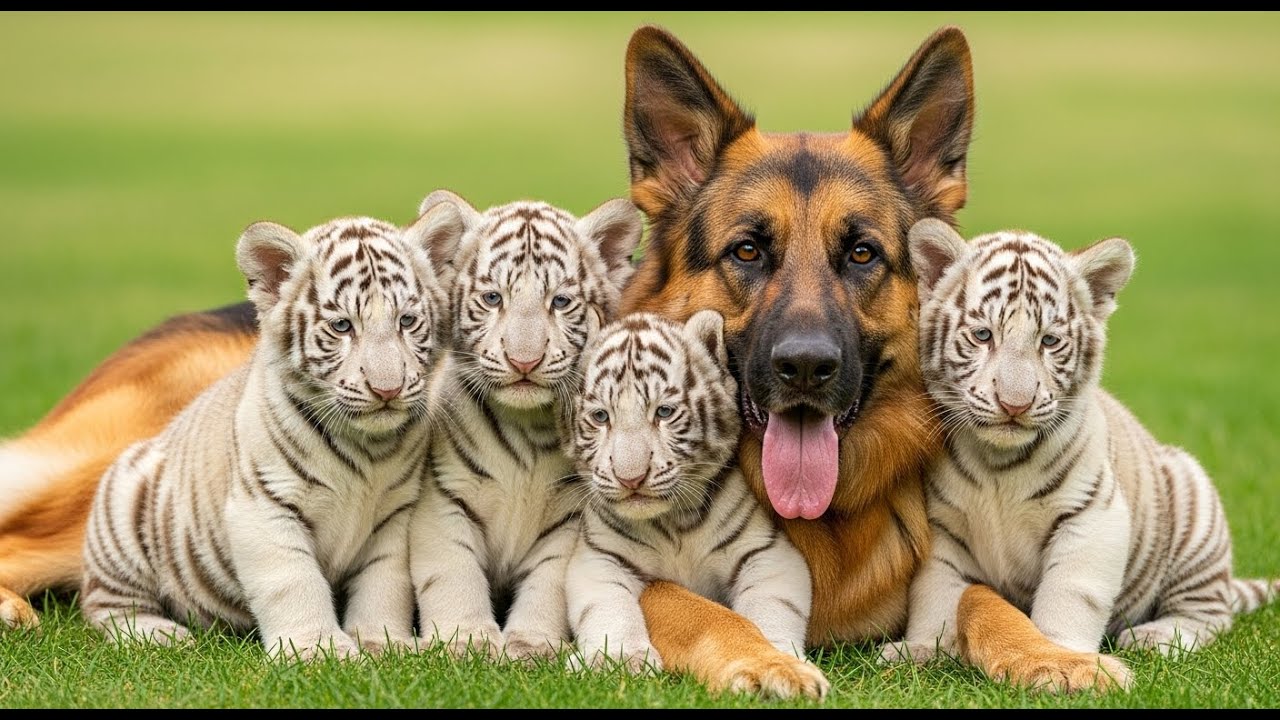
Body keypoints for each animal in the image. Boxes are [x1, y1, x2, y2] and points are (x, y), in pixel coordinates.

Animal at [80, 206, 465, 660]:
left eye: (407, 321)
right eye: (341, 326)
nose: (386, 389)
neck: (367, 446)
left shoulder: (394, 515)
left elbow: (383, 582)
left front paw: (379, 640)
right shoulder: (264, 507)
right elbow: (294, 582)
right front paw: (320, 650)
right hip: (122, 518)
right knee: (104, 603)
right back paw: (157, 634)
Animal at [408, 191, 643, 661]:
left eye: (561, 302)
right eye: (493, 298)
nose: (524, 361)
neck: (528, 429)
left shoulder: (569, 522)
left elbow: (547, 586)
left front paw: (532, 645)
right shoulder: (444, 501)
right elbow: (454, 575)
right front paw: (467, 642)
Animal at [563, 310, 826, 696]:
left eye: (664, 412)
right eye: (600, 417)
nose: (631, 478)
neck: (674, 521)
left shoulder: (767, 554)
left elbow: (772, 608)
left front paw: (781, 661)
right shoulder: (600, 557)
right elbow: (608, 608)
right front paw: (616, 661)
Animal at [881, 218, 1279, 686]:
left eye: (1050, 341)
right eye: (982, 335)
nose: (1014, 404)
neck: (999, 462)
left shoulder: (1092, 515)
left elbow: (1069, 594)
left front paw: (1061, 656)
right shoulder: (941, 525)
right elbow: (937, 590)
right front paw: (926, 648)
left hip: (1195, 510)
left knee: (1209, 612)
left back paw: (1159, 637)